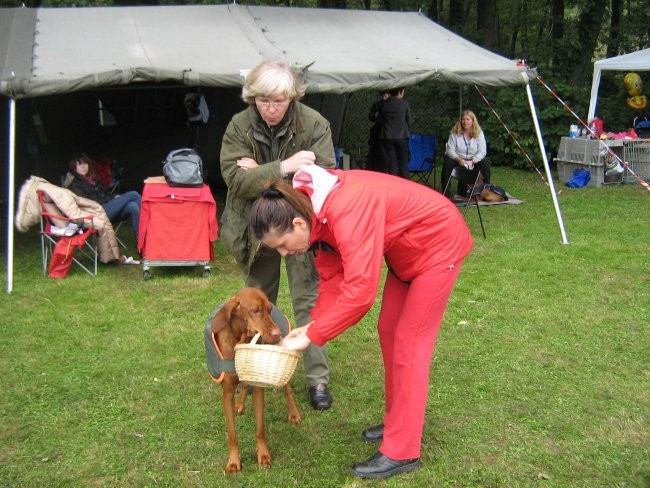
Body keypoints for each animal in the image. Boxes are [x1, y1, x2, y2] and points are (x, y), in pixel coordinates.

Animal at [205, 288, 302, 474]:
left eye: (270, 310)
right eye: (255, 311)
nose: (277, 334)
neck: (239, 339)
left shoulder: (258, 390)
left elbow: (260, 429)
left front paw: (263, 454)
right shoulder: (227, 394)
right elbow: (232, 435)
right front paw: (233, 462)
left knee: (287, 390)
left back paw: (294, 414)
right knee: (244, 385)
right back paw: (240, 405)